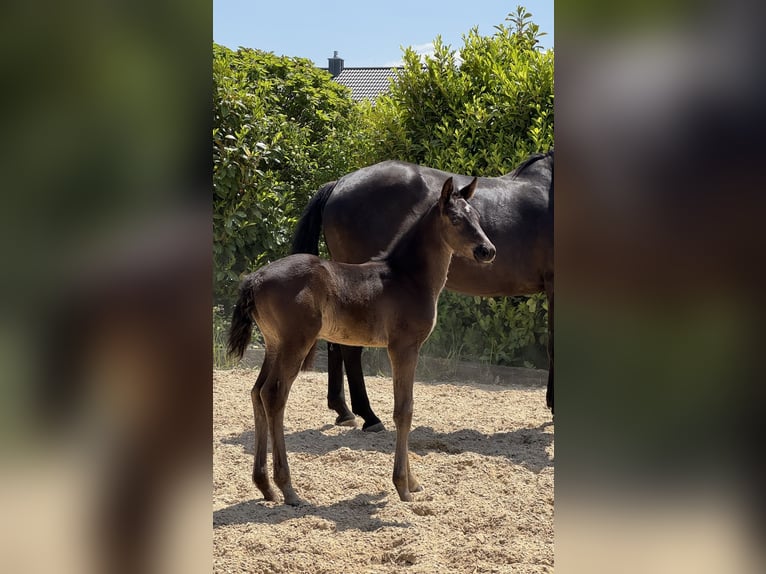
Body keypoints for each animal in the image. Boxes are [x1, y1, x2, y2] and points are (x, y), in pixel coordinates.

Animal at [227, 177, 496, 504]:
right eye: (456, 219)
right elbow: (404, 410)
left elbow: (405, 408)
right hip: (294, 344)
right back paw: (288, 489)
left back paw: (265, 486)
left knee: (257, 392)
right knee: (274, 396)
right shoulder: (404, 348)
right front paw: (403, 486)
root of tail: (255, 277)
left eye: (477, 217)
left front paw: (413, 481)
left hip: (274, 344)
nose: (487, 250)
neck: (407, 278)